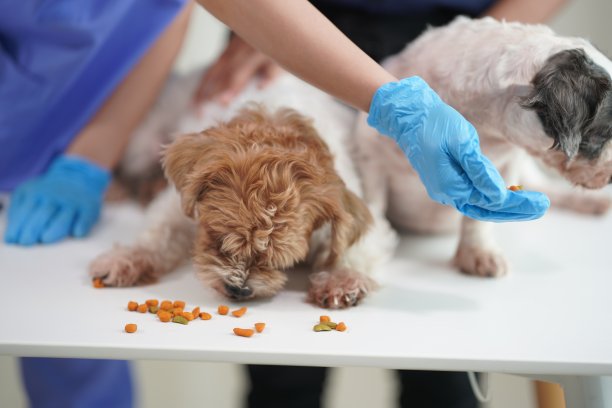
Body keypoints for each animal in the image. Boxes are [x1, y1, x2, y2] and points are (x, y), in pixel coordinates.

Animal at [89, 71, 396, 308]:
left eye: (277, 261)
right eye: (218, 239)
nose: (239, 288)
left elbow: (353, 250)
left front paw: (342, 281)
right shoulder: (178, 205)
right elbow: (159, 234)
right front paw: (126, 258)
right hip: (141, 143)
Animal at [354, 16, 612, 278]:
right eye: (605, 134)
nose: (611, 178)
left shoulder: (506, 164)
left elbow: (481, 218)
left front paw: (478, 253)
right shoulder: (370, 154)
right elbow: (372, 205)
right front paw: (360, 263)